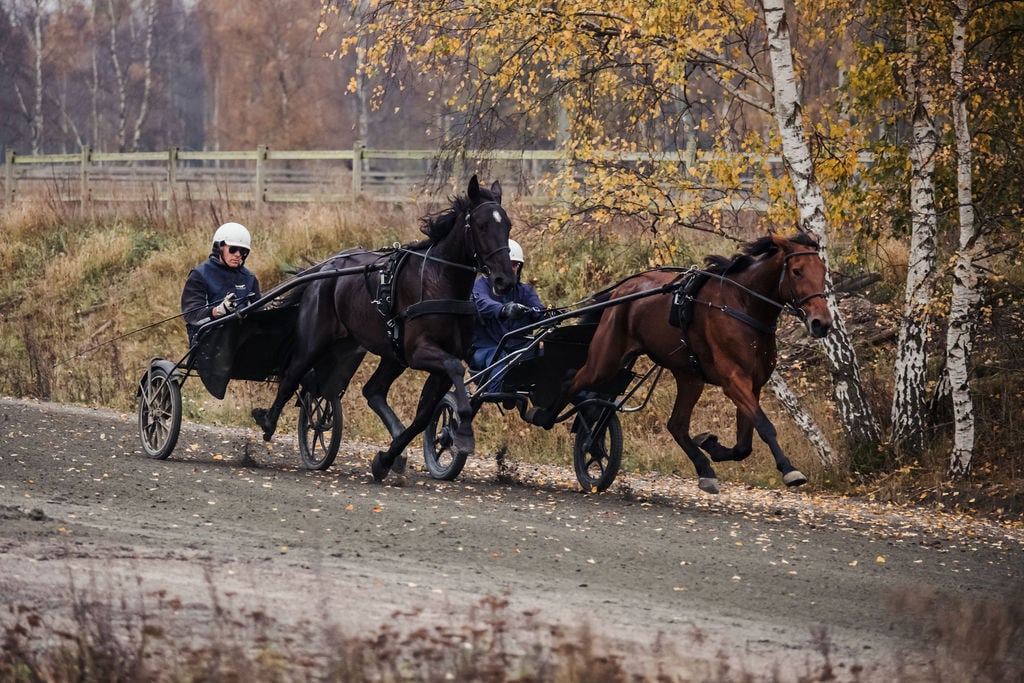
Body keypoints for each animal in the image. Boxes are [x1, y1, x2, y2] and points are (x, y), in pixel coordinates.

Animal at [252, 179, 516, 483]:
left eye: (507, 225)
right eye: (482, 225)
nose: (505, 281)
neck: (440, 280)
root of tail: (327, 267)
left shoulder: (437, 363)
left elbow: (423, 417)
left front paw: (386, 458)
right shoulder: (420, 352)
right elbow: (455, 370)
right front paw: (462, 430)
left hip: (390, 354)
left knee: (372, 390)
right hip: (316, 338)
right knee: (292, 374)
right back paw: (268, 421)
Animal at [565, 232, 835, 493]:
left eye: (823, 270)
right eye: (797, 270)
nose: (821, 323)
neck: (743, 305)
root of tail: (622, 290)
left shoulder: (753, 384)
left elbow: (744, 444)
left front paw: (711, 445)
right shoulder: (734, 381)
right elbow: (766, 427)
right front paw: (789, 469)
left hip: (689, 378)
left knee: (676, 425)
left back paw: (704, 469)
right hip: (604, 361)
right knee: (571, 384)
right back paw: (579, 428)